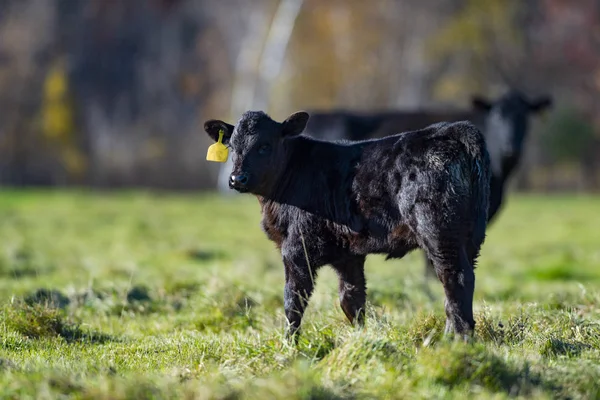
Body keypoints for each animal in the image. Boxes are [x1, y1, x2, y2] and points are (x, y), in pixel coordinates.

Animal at [204, 110, 490, 340]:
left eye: (264, 146)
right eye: (232, 146)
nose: (236, 178)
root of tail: (451, 129)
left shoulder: (297, 248)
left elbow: (293, 301)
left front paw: (289, 347)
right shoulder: (348, 254)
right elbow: (351, 299)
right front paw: (361, 340)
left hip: (439, 233)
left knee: (455, 279)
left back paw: (458, 340)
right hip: (470, 237)